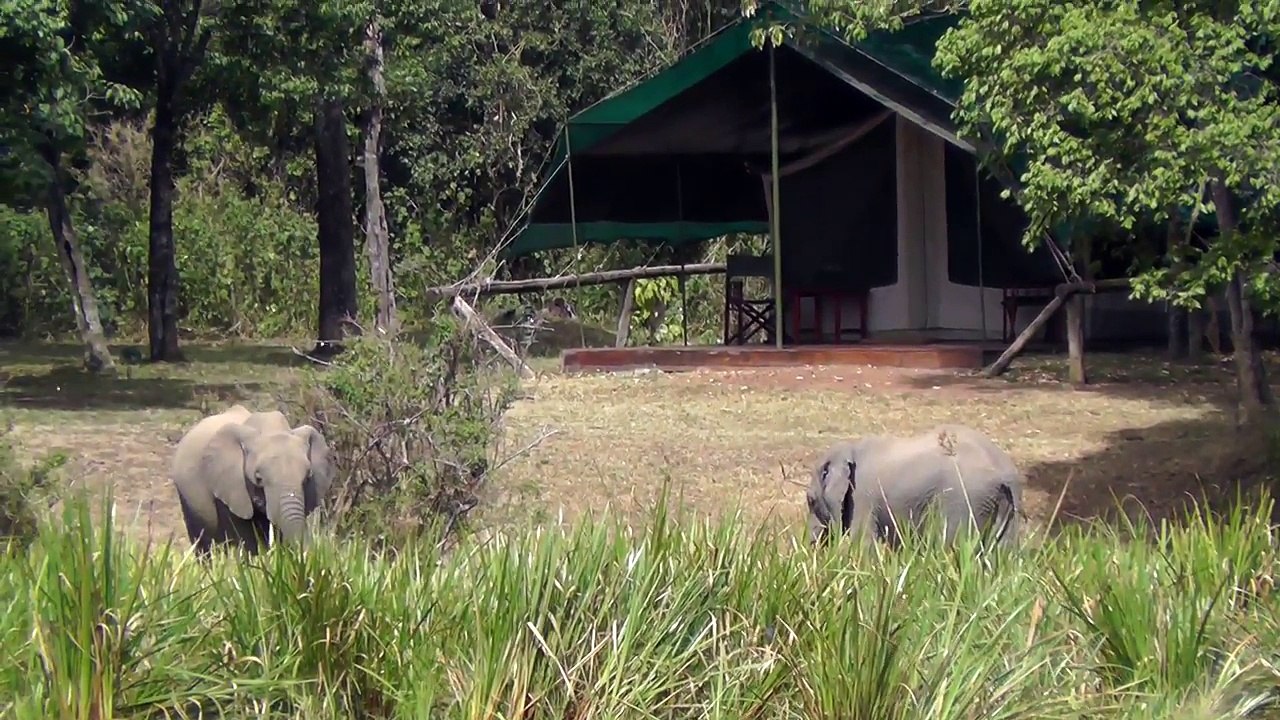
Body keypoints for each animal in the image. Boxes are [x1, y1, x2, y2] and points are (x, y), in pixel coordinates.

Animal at [805, 424, 1024, 550]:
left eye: (810, 501)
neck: (850, 447)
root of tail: (1005, 473)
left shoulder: (862, 497)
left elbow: (864, 544)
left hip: (966, 500)